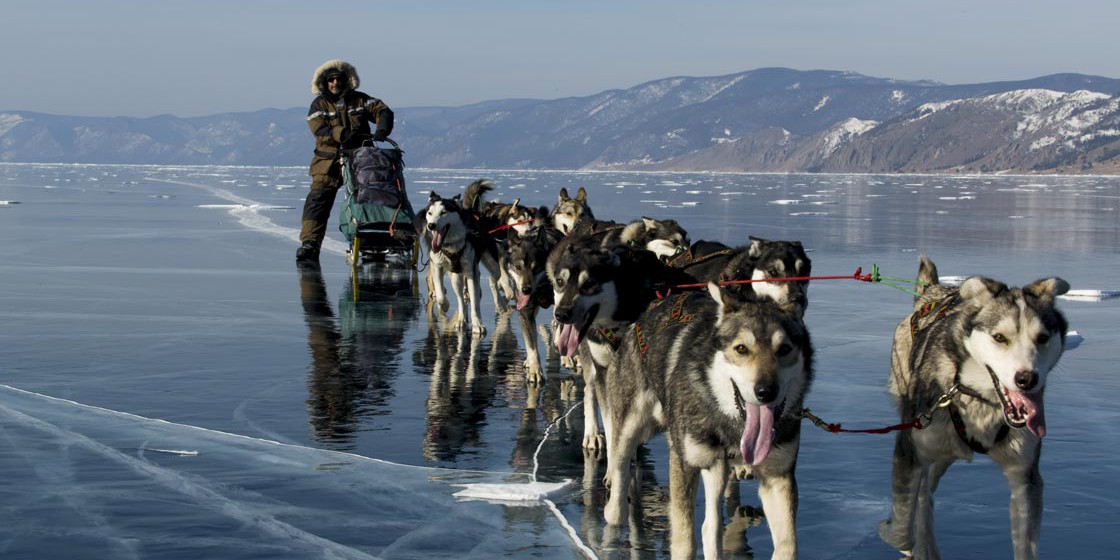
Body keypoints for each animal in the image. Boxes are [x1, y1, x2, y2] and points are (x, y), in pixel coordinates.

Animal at [421, 179, 509, 334]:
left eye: (443, 212)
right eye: (430, 213)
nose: (431, 225)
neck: (451, 245)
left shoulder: (470, 271)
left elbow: (475, 303)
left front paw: (477, 324)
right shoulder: (437, 266)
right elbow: (440, 294)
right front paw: (444, 305)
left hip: (490, 264)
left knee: (492, 281)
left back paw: (499, 303)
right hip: (457, 276)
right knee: (461, 298)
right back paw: (461, 319)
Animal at [601, 284, 814, 560]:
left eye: (784, 349)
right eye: (741, 349)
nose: (766, 392)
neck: (729, 421)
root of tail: (654, 306)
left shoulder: (778, 476)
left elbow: (788, 545)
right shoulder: (685, 464)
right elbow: (684, 541)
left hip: (715, 466)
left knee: (711, 526)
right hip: (631, 427)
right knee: (619, 474)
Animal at [878, 255, 1069, 560]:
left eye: (1042, 338)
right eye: (1000, 337)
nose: (1027, 379)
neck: (980, 399)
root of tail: (932, 292)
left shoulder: (1024, 474)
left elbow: (1026, 544)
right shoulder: (910, 450)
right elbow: (902, 529)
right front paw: (894, 535)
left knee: (927, 493)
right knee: (921, 496)